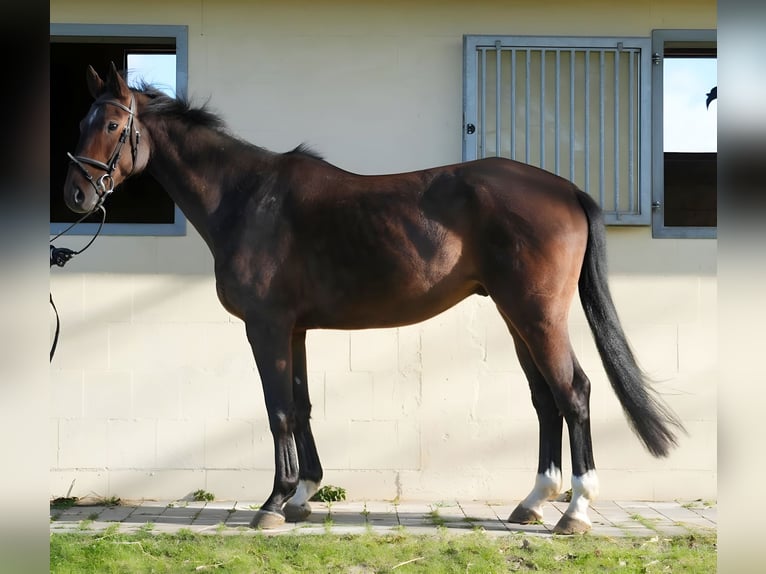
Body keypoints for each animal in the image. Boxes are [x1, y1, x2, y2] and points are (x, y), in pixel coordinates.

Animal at [62, 62, 683, 534]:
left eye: (113, 123)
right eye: (82, 121)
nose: (76, 194)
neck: (248, 198)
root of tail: (566, 188)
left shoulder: (265, 326)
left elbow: (278, 410)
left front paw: (273, 504)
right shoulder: (294, 328)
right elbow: (302, 405)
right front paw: (302, 495)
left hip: (538, 316)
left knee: (573, 392)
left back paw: (575, 510)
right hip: (517, 317)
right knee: (545, 399)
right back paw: (533, 502)